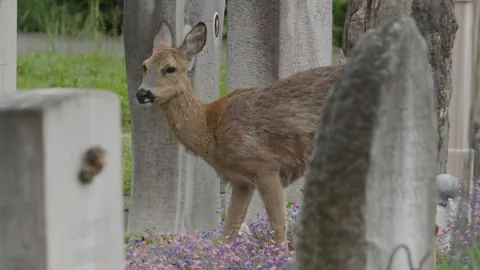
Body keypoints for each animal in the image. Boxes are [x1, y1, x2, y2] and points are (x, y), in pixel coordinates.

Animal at [135, 20, 344, 250]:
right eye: (144, 65)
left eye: (170, 68)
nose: (142, 93)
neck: (211, 128)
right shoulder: (241, 181)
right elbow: (230, 228)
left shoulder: (265, 165)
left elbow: (278, 225)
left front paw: (281, 253)